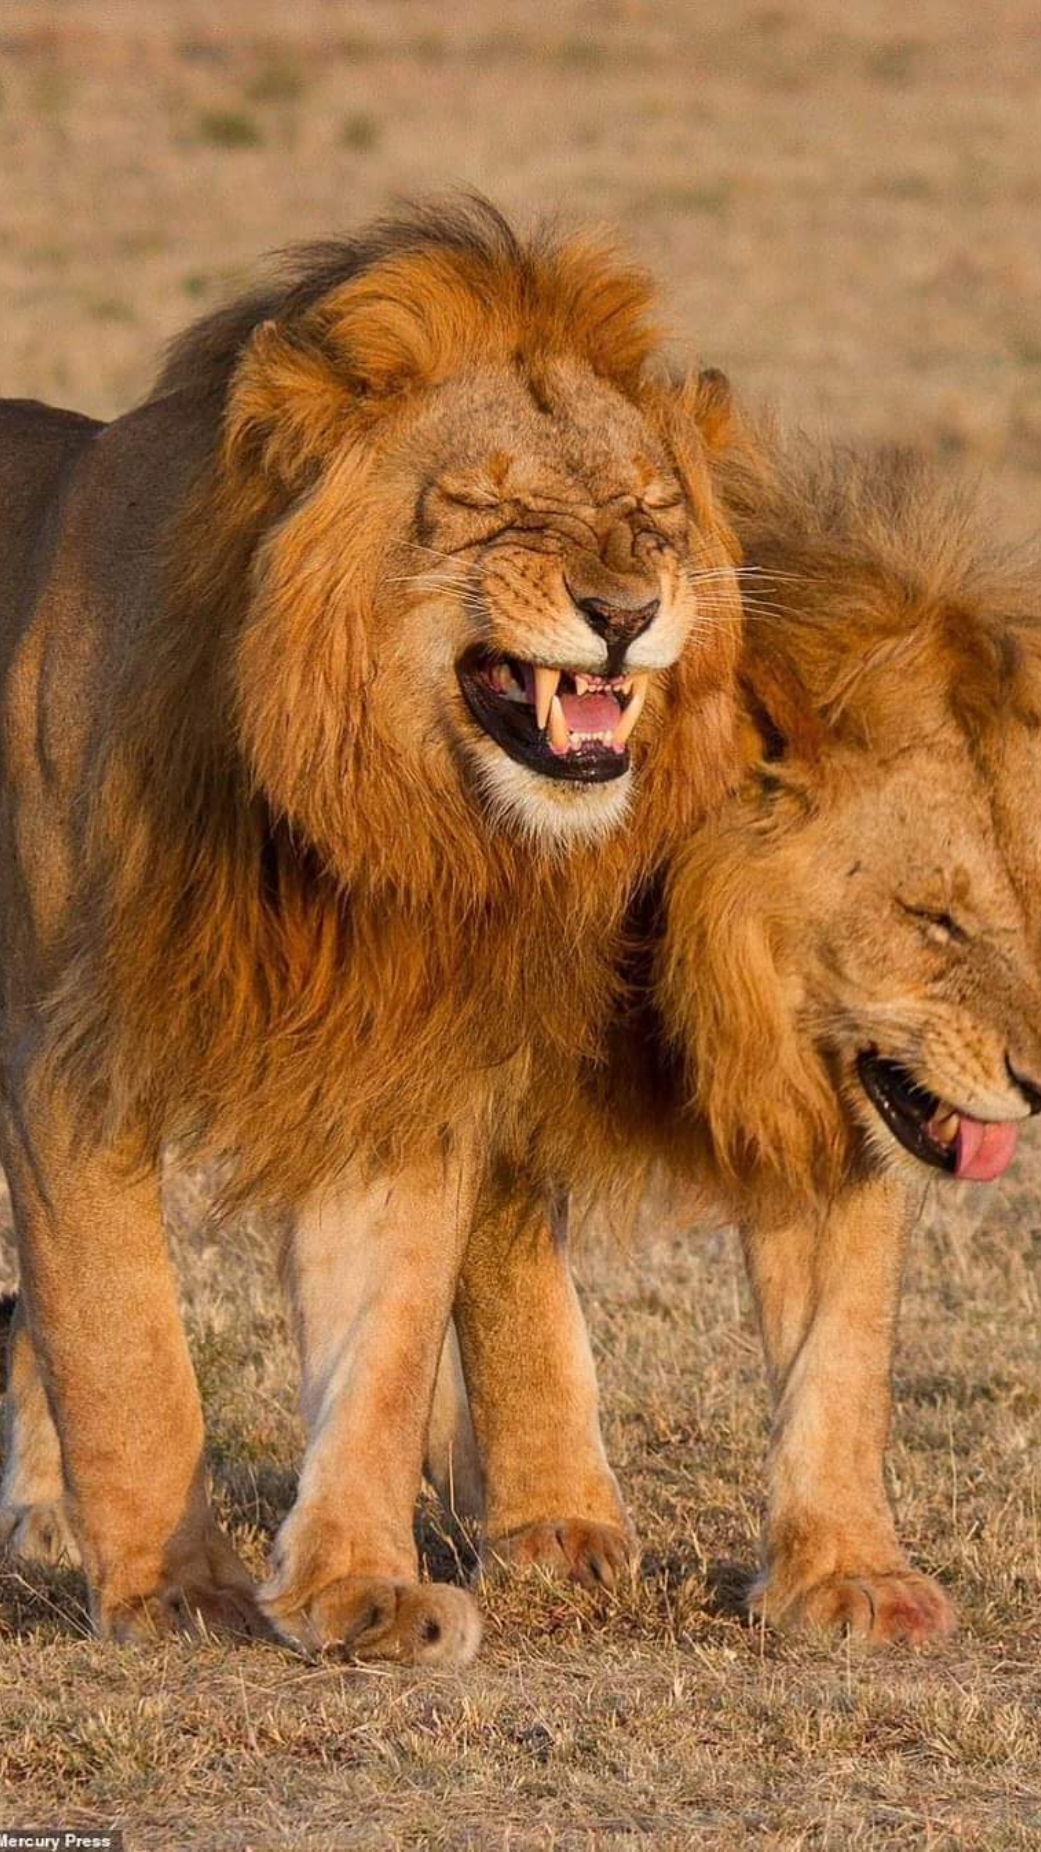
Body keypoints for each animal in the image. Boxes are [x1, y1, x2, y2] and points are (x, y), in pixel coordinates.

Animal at [0, 198, 743, 1661]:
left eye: (651, 513)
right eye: (493, 507)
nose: (626, 616)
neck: (347, 814)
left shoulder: (391, 1070)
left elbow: (382, 1343)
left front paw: (359, 1586)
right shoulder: (66, 1060)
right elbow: (123, 1340)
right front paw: (174, 1593)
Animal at [427, 431, 1041, 1644]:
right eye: (934, 920)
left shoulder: (840, 1106)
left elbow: (842, 1349)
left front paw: (850, 1574)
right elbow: (517, 1300)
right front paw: (553, 1530)